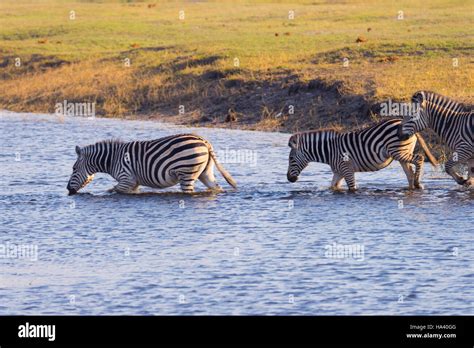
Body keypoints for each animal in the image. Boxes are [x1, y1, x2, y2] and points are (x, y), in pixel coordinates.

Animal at [66, 133, 237, 194]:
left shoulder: (127, 179)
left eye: (74, 169)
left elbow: (112, 190)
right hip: (205, 173)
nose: (68, 189)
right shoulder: (133, 183)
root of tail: (204, 141)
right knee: (216, 187)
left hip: (187, 173)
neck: (112, 159)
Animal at [286, 119, 438, 190]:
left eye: (291, 158)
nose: (289, 179)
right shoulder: (339, 172)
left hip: (399, 152)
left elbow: (352, 187)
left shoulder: (347, 169)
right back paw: (413, 187)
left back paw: (418, 184)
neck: (329, 151)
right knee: (409, 174)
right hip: (402, 153)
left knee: (420, 158)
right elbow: (333, 186)